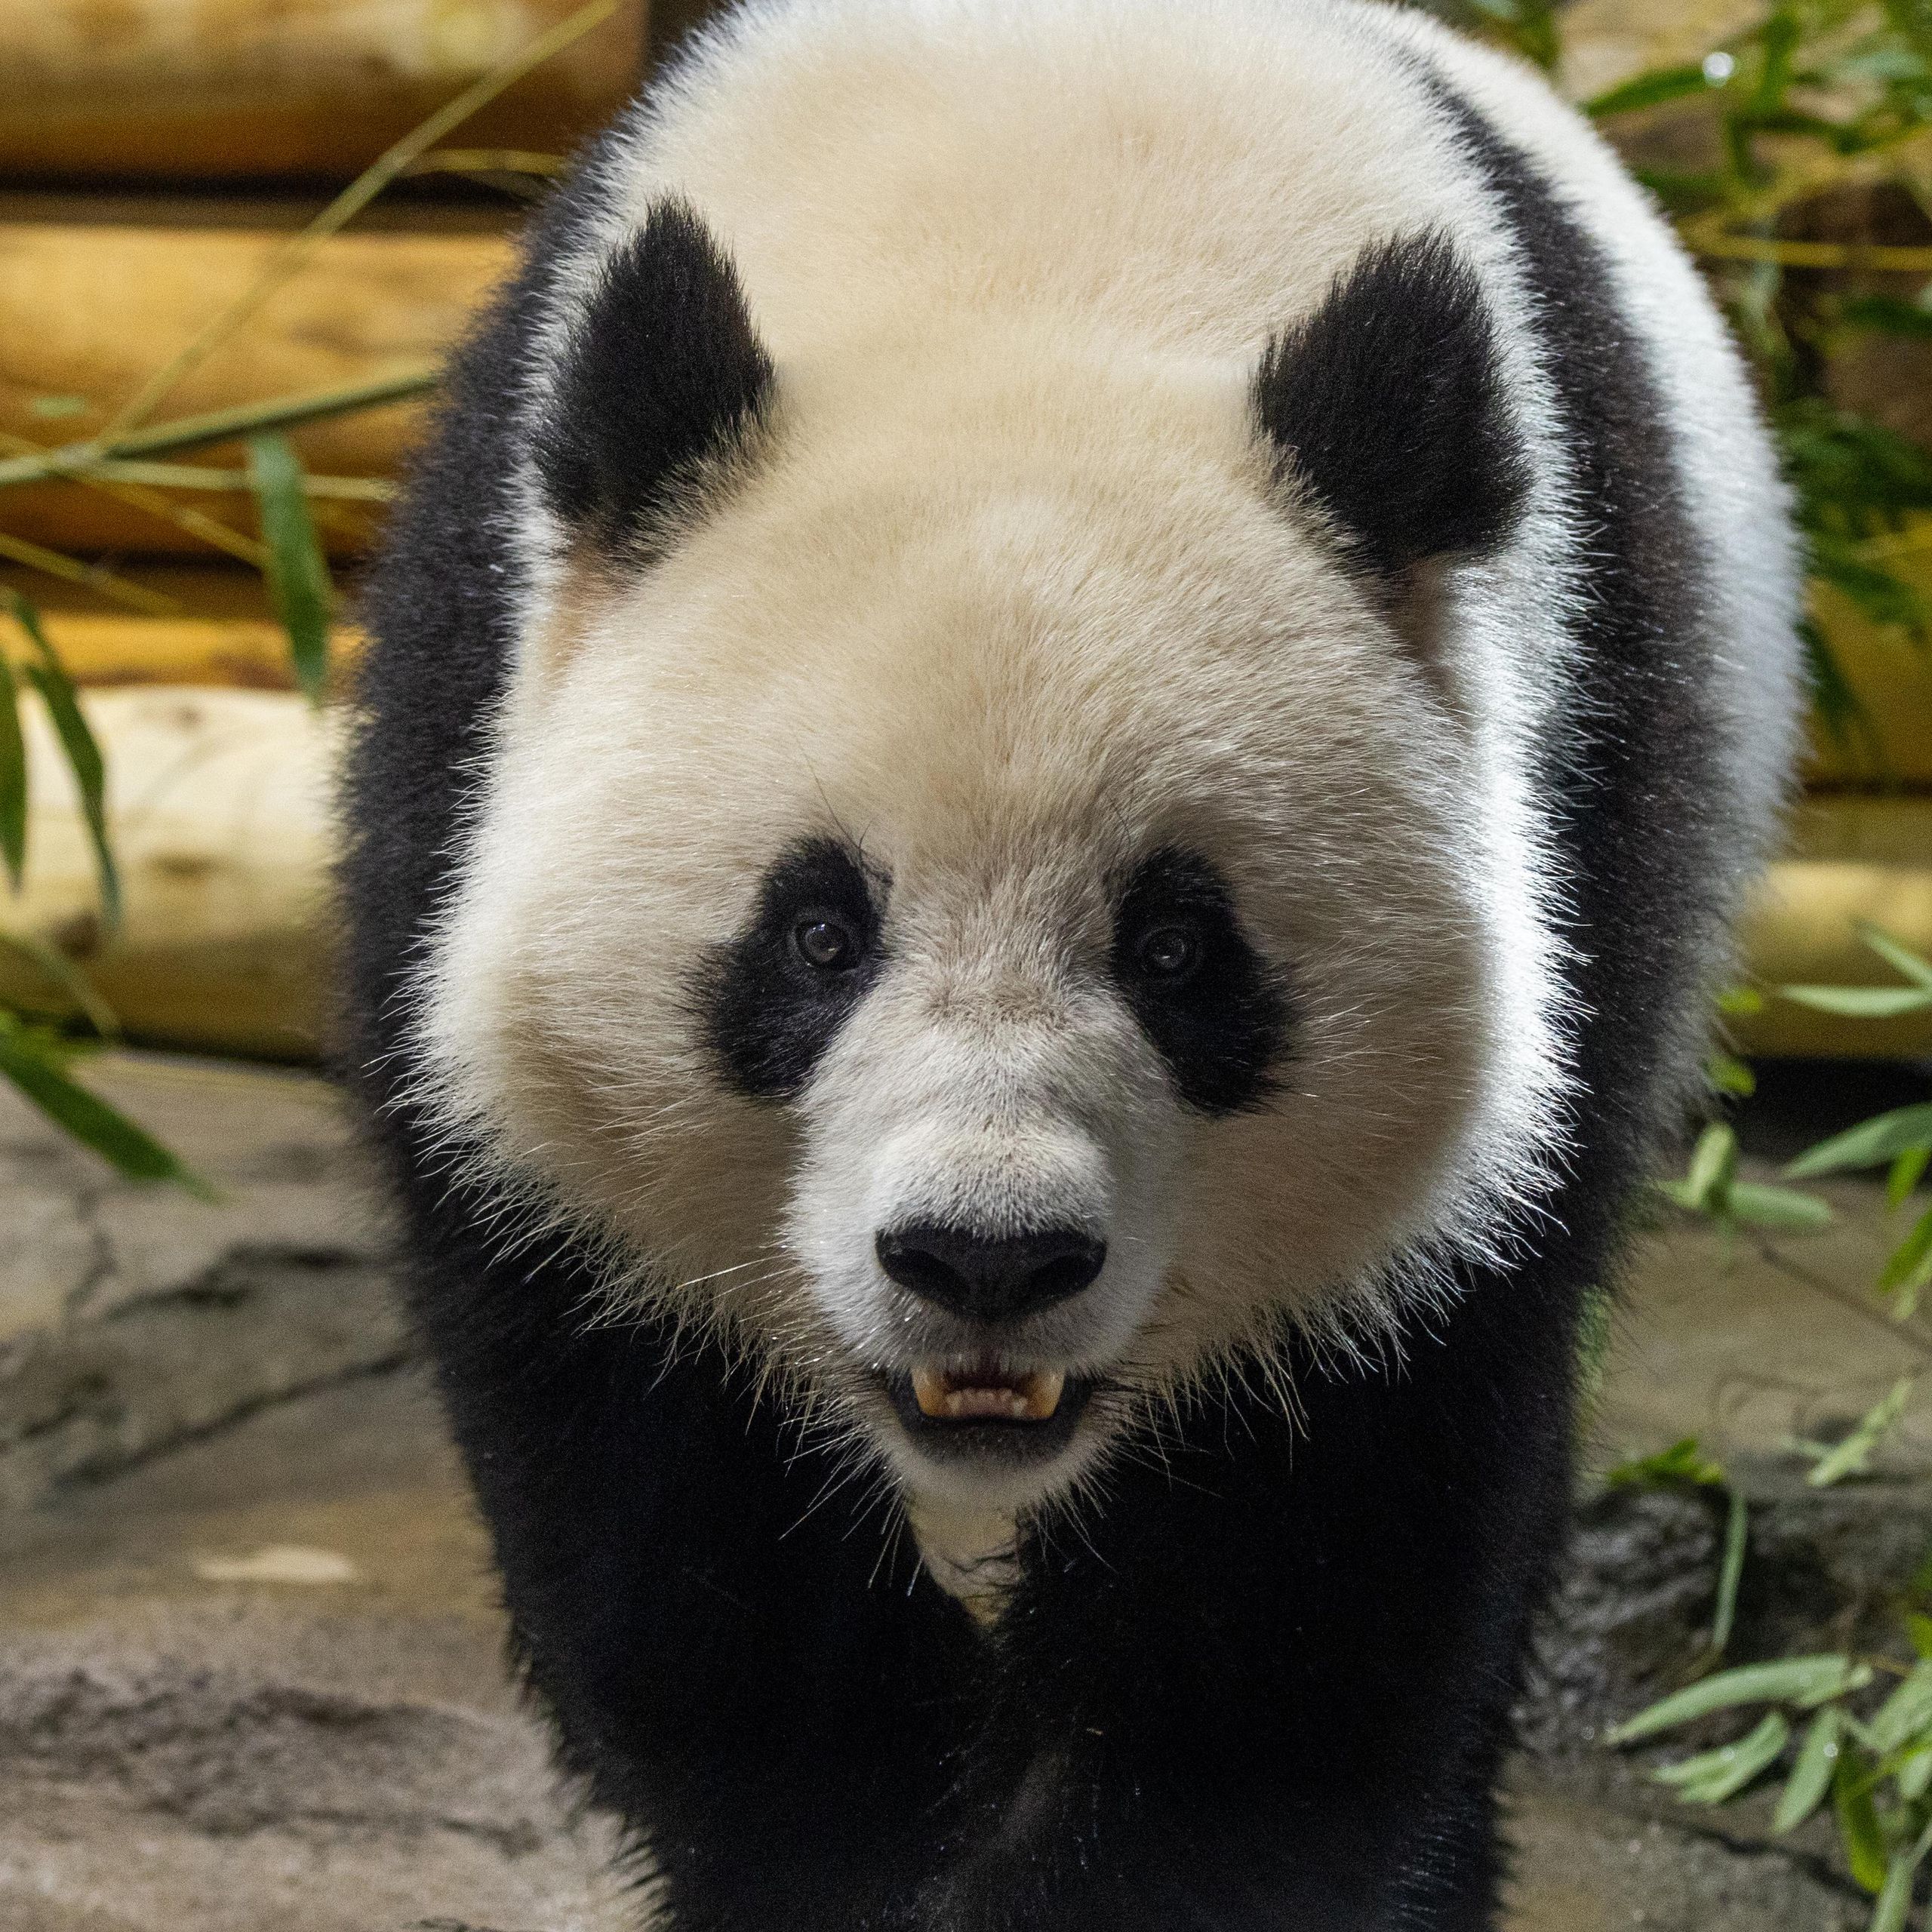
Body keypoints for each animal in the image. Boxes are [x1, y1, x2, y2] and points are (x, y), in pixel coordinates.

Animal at [342, 0, 1802, 1925]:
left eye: (1178, 947)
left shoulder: (1569, 814)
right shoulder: (467, 738)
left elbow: (1307, 1567)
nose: (987, 1256)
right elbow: (662, 1489)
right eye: (816, 931)